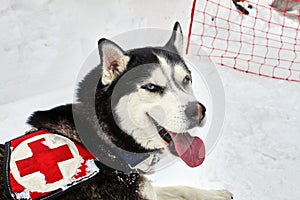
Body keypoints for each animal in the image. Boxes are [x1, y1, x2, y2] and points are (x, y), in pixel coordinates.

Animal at [0, 22, 232, 200]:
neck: (105, 141)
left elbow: (179, 188)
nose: (198, 111)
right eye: (151, 87)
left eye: (186, 80)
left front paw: (216, 194)